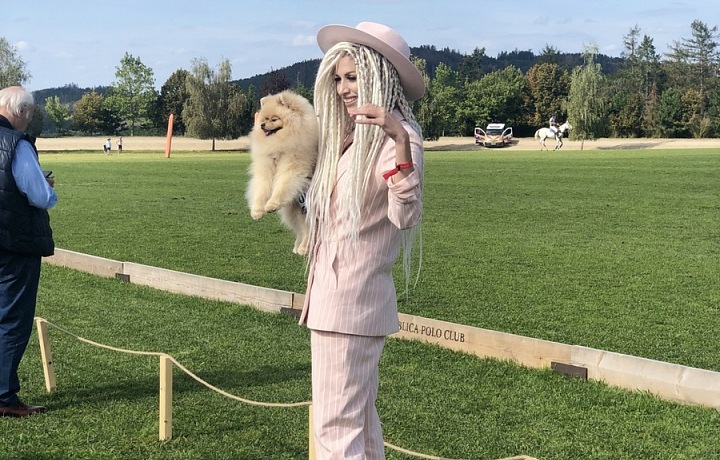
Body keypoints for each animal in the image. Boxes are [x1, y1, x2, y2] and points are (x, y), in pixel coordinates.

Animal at [246, 90, 319, 255]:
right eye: (264, 119)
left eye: (274, 119)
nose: (262, 125)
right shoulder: (265, 167)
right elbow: (261, 189)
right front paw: (257, 211)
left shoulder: (292, 168)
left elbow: (281, 187)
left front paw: (271, 204)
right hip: (295, 210)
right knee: (302, 229)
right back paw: (299, 246)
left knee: (308, 230)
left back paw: (304, 248)